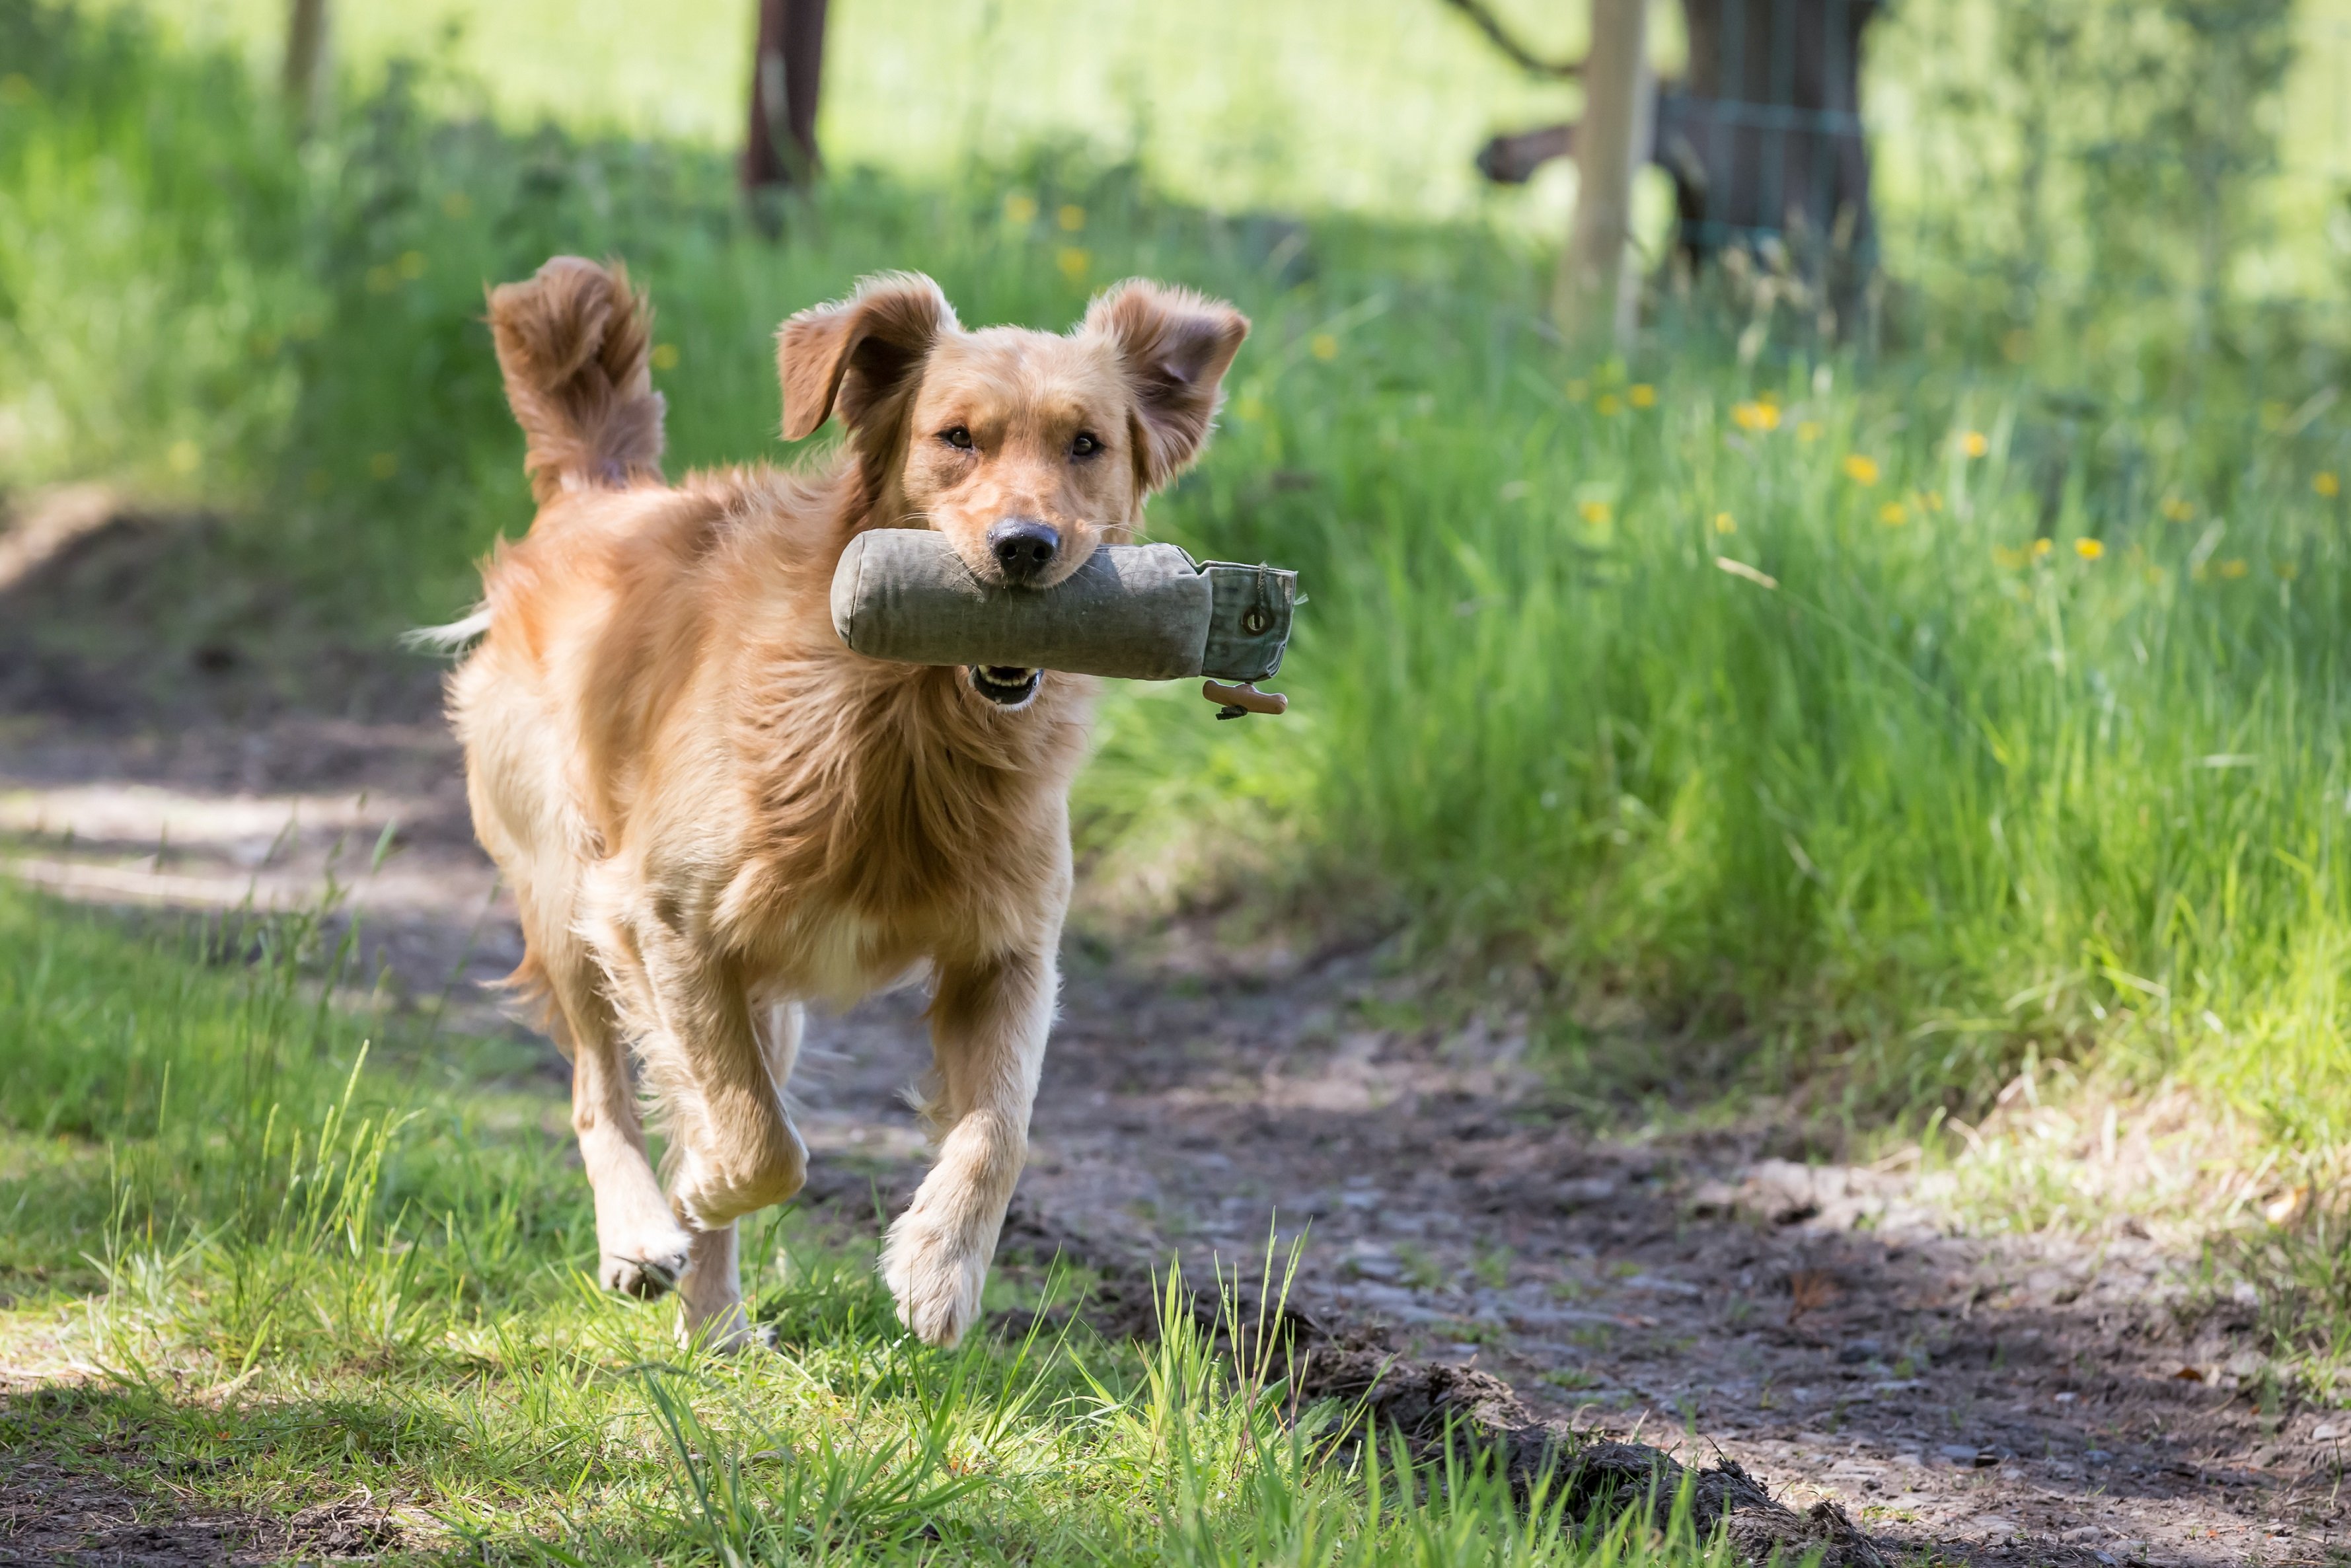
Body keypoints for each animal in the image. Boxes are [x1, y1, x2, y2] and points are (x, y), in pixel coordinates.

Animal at [441, 257, 1250, 1354]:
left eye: (1086, 444)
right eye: (956, 437)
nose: (1025, 546)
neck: (903, 722)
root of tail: (597, 498)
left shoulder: (1007, 952)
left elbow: (998, 1128)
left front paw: (938, 1269)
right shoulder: (663, 918)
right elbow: (758, 1139)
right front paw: (704, 1185)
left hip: (755, 990)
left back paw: (715, 1322)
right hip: (569, 893)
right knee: (598, 1089)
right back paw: (644, 1233)